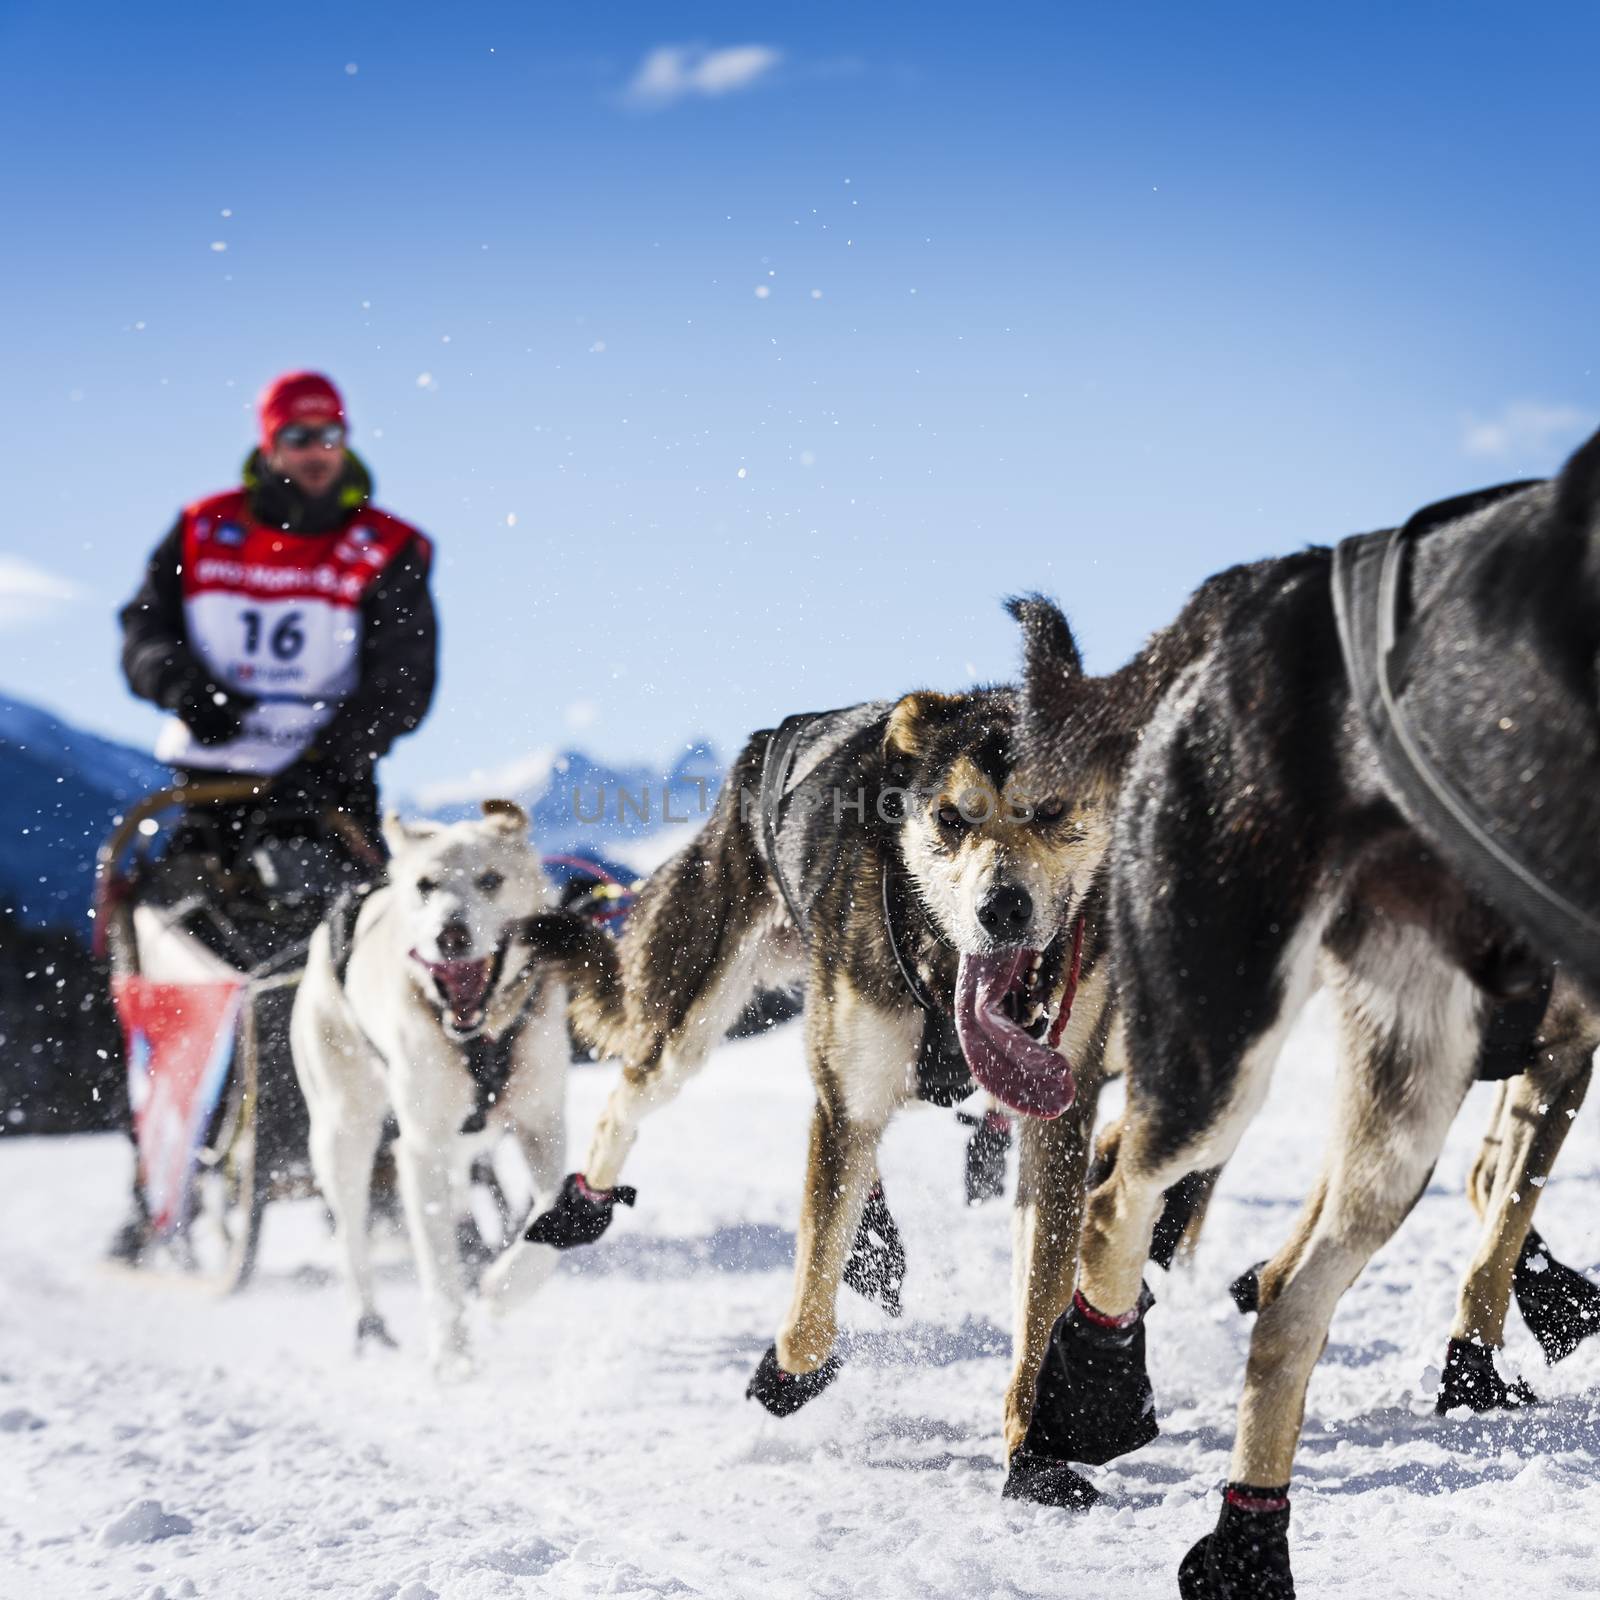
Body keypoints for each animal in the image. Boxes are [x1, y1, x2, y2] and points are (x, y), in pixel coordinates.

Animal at [291, 800, 572, 1376]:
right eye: (426, 885)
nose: (450, 935)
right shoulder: (421, 1149)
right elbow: (440, 1269)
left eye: (490, 880)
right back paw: (369, 1325)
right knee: (352, 1236)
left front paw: (503, 1288)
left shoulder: (543, 1121)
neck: (480, 1035)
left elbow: (553, 1212)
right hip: (343, 1135)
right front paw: (453, 1356)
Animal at [1011, 428, 1600, 1600]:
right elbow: (1503, 1219)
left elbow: (1502, 1221)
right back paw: (1092, 1388)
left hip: (1403, 1086)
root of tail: (1275, 578)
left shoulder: (1560, 1055)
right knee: (1114, 1192)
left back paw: (1248, 1544)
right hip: (1223, 1040)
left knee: (1290, 1298)